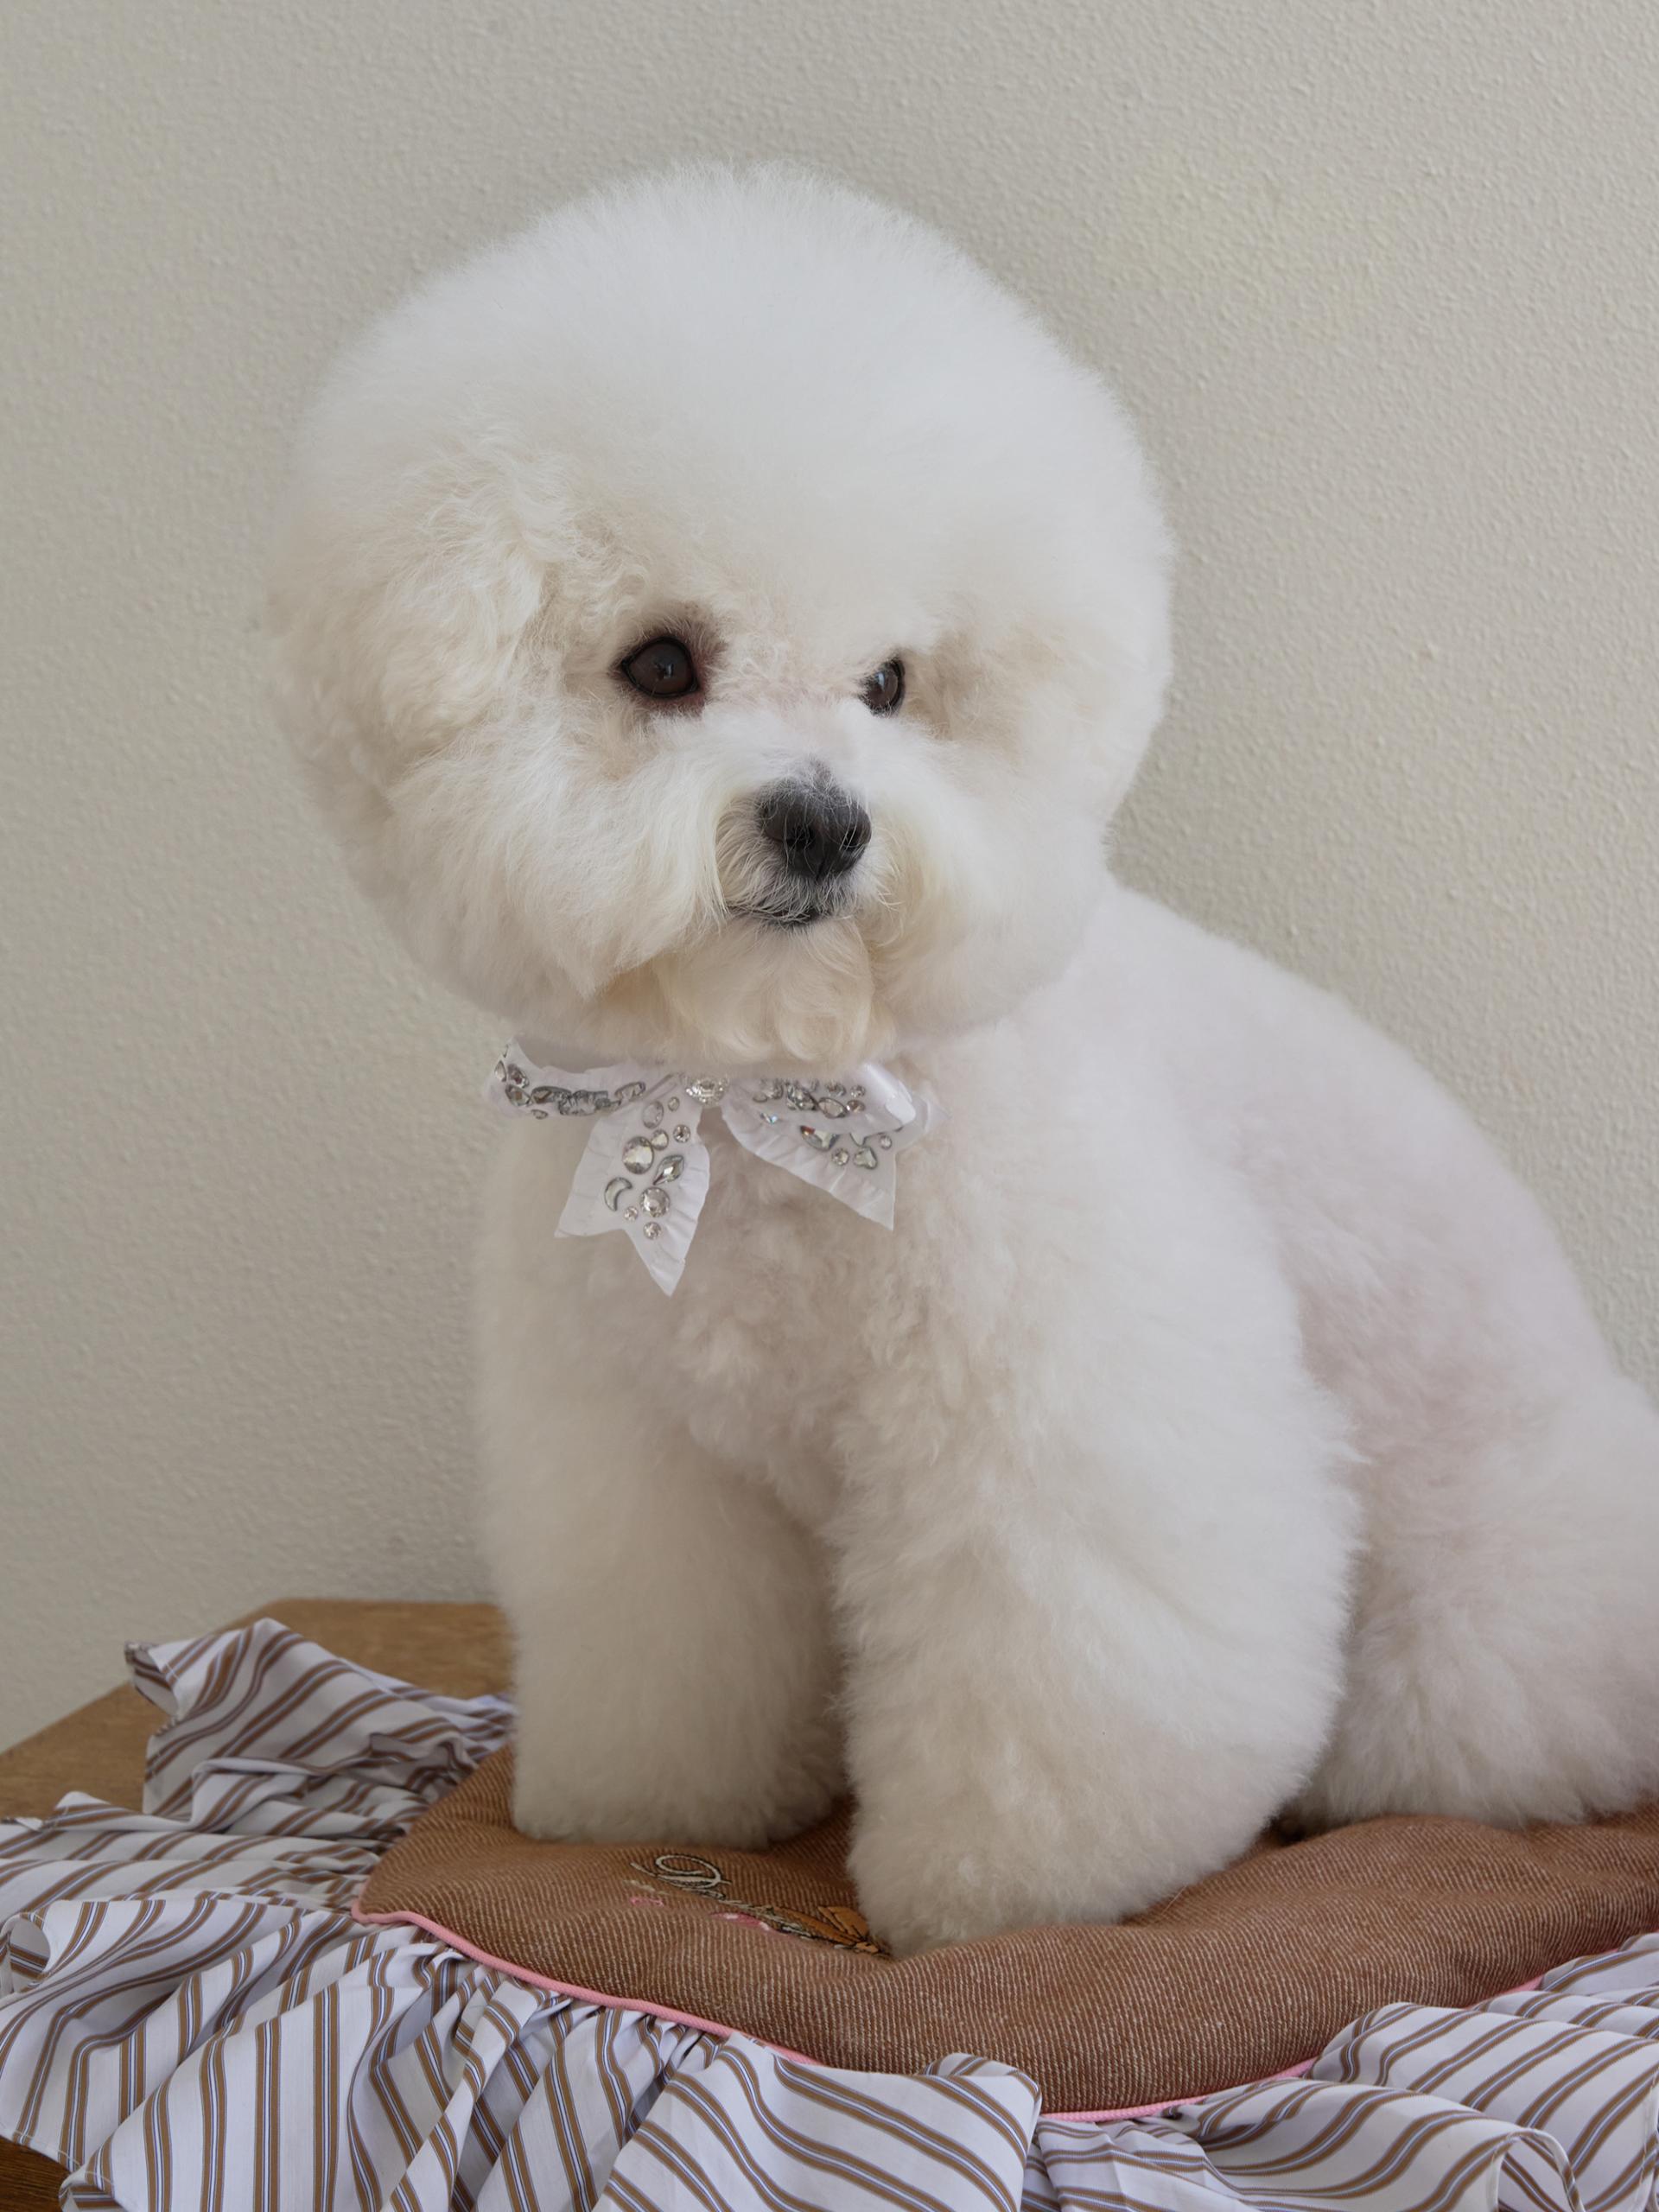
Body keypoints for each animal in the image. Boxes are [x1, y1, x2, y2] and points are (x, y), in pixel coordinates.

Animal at [270, 166, 1659, 1954]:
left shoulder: (1052, 1436)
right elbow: (673, 1651)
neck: (754, 1104)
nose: (822, 822)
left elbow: (1059, 1680)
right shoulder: (646, 1457)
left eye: (892, 683)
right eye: (663, 663)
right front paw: (649, 1812)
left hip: (1466, 1625)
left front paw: (1000, 1902)